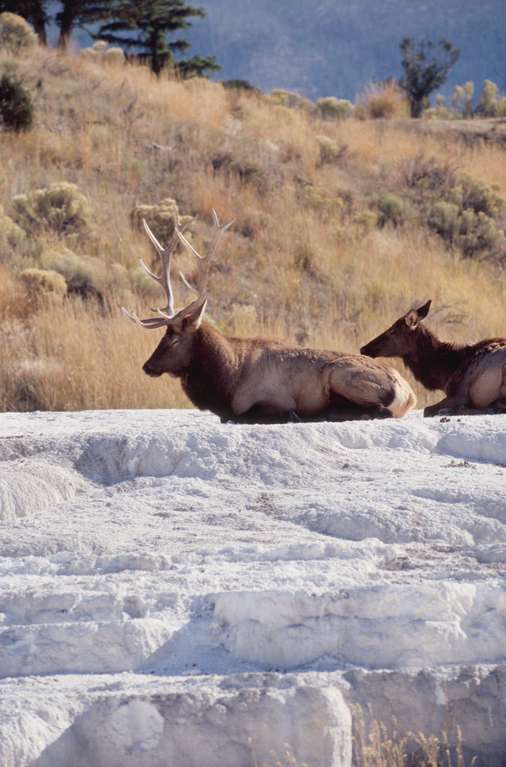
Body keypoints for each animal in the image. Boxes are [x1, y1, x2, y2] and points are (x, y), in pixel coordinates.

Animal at [123, 212, 416, 423]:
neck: (227, 380)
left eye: (173, 339)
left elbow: (247, 415)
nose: (147, 366)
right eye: (162, 336)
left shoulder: (269, 400)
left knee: (379, 409)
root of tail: (409, 394)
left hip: (342, 374)